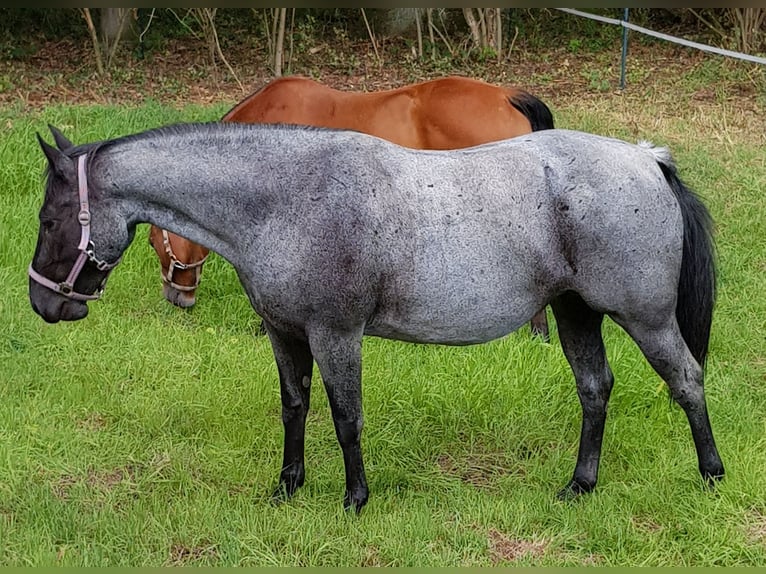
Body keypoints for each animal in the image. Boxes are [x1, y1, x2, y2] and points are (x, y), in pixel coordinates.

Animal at [29, 122, 724, 513]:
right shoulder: (285, 332)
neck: (287, 197)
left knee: (687, 381)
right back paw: (579, 486)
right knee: (595, 389)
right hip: (577, 314)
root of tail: (645, 158)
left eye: (49, 218)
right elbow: (295, 405)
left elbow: (346, 417)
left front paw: (354, 499)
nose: (43, 303)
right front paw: (287, 487)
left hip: (645, 318)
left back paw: (711, 476)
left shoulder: (336, 335)